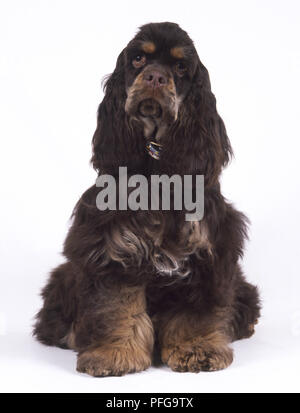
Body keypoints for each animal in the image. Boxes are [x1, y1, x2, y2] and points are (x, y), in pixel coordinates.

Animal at [34, 23, 260, 376]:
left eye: (180, 67)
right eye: (139, 58)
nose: (154, 77)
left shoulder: (207, 253)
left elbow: (196, 313)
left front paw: (197, 349)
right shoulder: (111, 250)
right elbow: (115, 308)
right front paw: (113, 354)